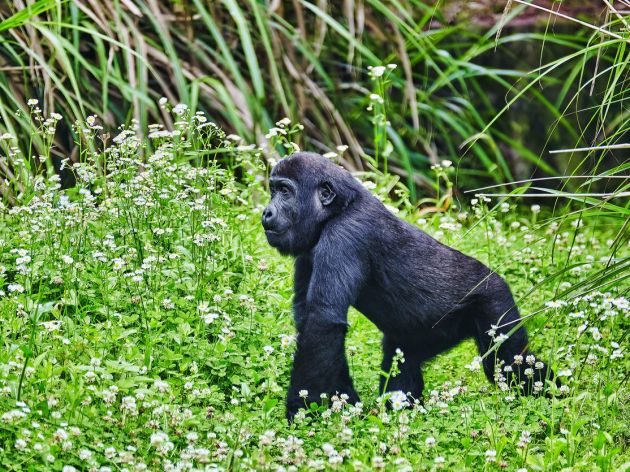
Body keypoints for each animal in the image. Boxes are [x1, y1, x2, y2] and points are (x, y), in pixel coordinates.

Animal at [262, 152, 556, 420]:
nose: (266, 212)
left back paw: (555, 396)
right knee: (403, 366)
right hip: (422, 338)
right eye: (273, 189)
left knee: (511, 363)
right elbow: (313, 325)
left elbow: (323, 322)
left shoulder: (345, 234)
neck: (340, 206)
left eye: (285, 191)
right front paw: (343, 400)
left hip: (495, 300)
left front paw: (301, 409)